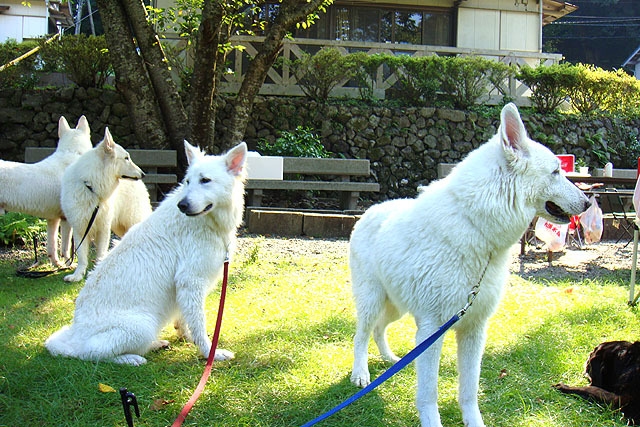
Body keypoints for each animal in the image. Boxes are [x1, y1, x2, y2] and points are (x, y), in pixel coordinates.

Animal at [0, 115, 92, 266]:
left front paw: (57, 264)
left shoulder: (53, 219)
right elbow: (66, 247)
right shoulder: (66, 219)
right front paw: (69, 264)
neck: (71, 153)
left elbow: (52, 247)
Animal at [47, 142, 248, 366]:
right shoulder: (191, 281)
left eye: (205, 180)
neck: (207, 222)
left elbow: (184, 319)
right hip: (143, 326)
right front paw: (209, 352)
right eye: (188, 181)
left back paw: (155, 344)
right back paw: (132, 358)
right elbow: (199, 324)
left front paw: (186, 337)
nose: (182, 205)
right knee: (91, 352)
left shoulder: (183, 289)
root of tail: (74, 337)